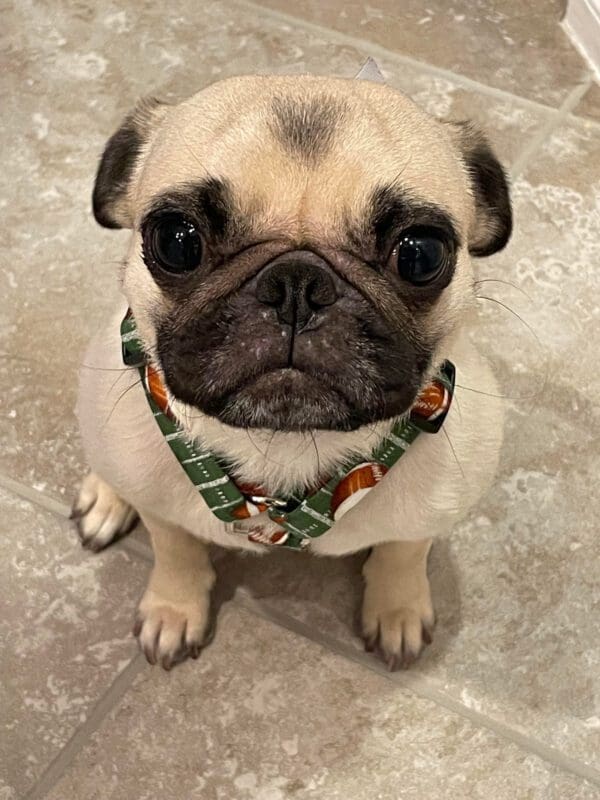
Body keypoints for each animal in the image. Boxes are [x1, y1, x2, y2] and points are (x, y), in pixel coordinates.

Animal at [71, 67, 510, 668]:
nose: (297, 286)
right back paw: (106, 497)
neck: (283, 447)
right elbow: (175, 548)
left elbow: (404, 552)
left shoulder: (428, 513)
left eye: (421, 254)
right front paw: (174, 609)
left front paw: (396, 610)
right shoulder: (162, 509)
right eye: (177, 241)